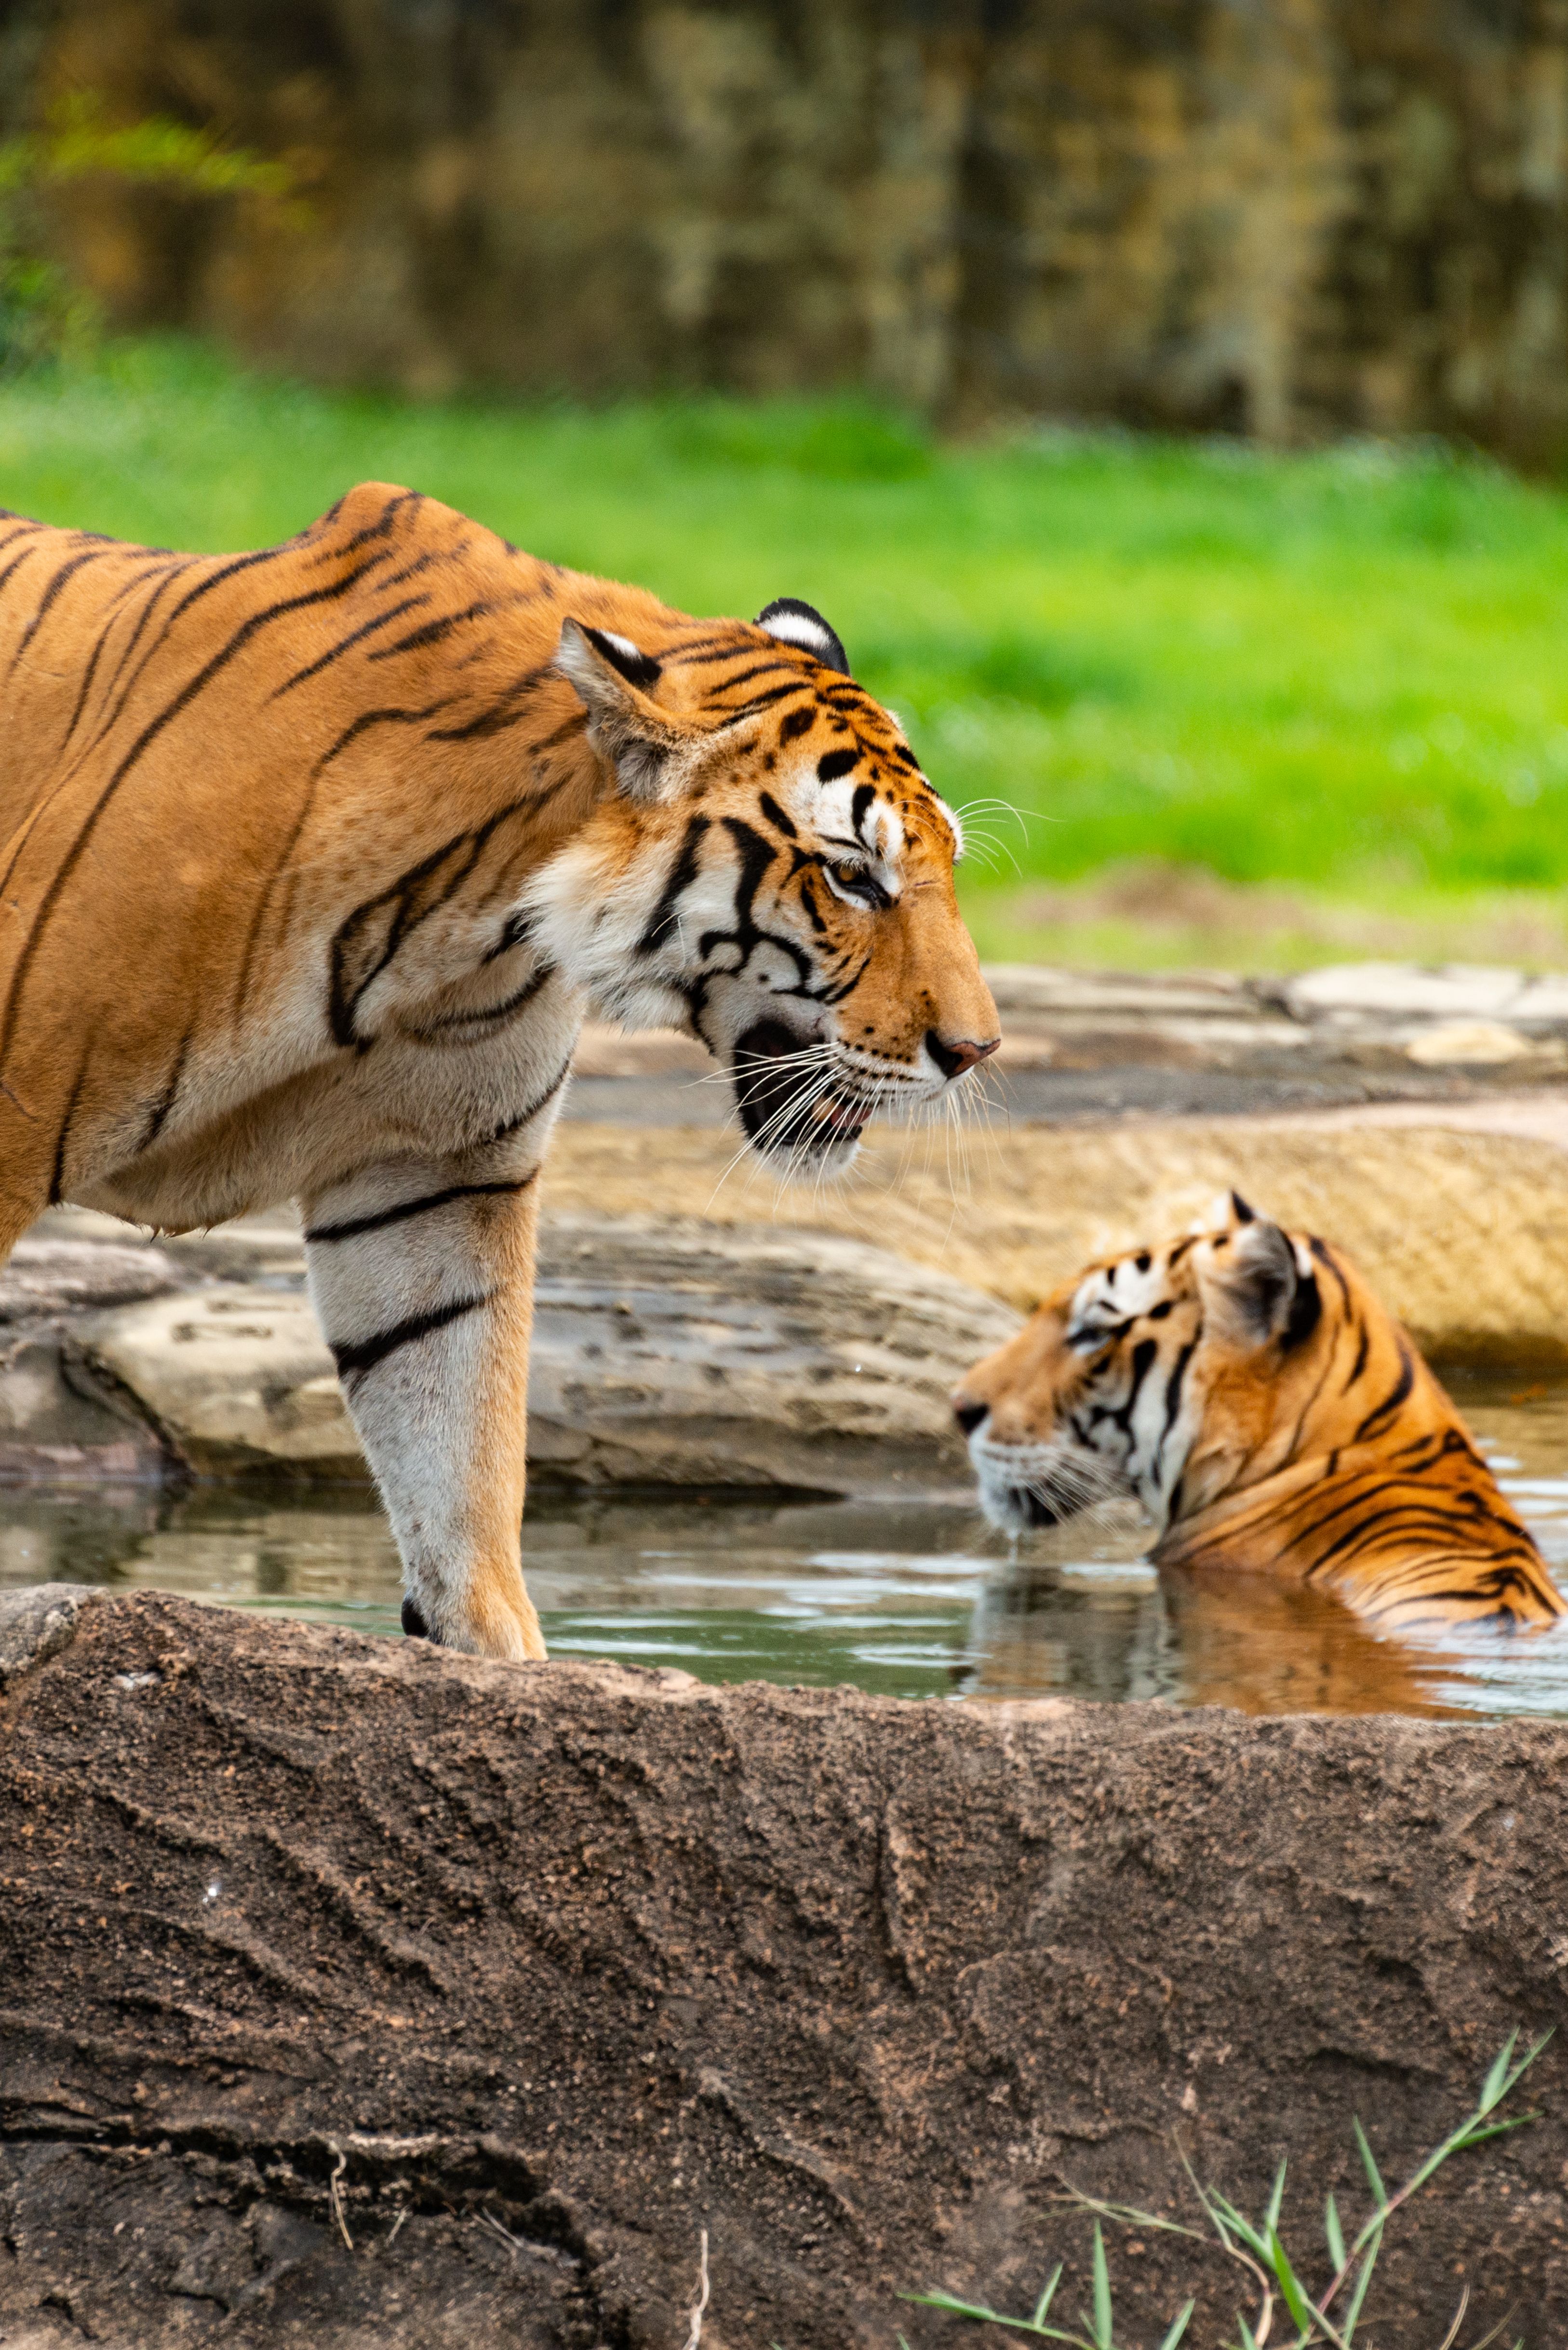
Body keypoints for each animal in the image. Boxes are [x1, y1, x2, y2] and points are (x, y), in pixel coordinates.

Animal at [0, 481, 999, 1660]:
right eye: (852, 878)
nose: (977, 1049)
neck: (472, 918)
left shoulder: (436, 1174)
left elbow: (457, 1429)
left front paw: (493, 1649)